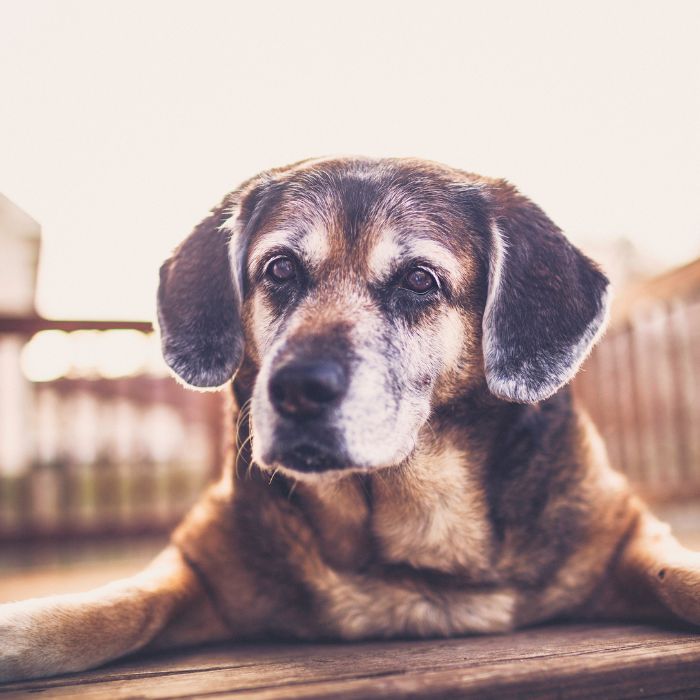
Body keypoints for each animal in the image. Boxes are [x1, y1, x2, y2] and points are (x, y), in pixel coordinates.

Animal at [1, 156, 700, 680]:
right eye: (280, 268)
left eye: (419, 280)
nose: (297, 389)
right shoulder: (197, 567)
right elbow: (106, 610)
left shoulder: (628, 534)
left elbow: (680, 578)